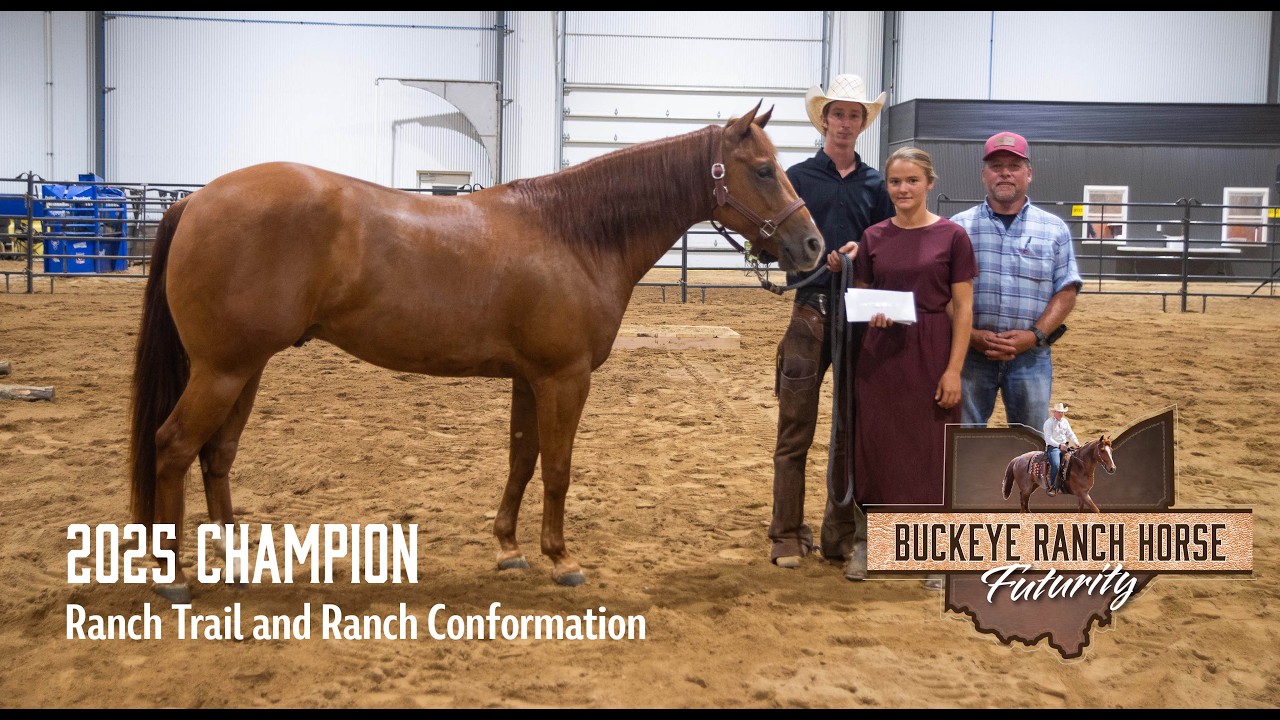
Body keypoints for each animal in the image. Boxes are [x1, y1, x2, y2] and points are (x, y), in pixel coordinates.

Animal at [127, 103, 823, 602]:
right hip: (222, 371)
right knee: (173, 447)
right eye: (764, 169)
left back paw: (235, 565)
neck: (574, 233)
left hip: (245, 369)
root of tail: (196, 199)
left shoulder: (530, 378)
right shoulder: (565, 379)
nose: (814, 246)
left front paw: (509, 549)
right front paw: (562, 560)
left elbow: (521, 459)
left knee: (217, 456)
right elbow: (558, 468)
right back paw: (173, 577)